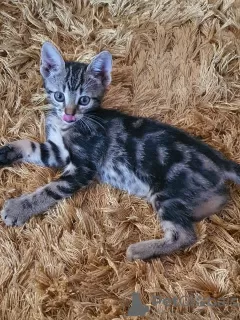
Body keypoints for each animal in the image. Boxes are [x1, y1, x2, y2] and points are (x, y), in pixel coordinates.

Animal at [0, 42, 240, 262]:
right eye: (59, 96)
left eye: (84, 100)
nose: (69, 114)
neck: (69, 125)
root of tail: (219, 161)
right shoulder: (57, 151)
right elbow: (30, 145)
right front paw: (6, 151)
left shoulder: (83, 166)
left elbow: (51, 189)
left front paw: (19, 208)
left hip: (167, 193)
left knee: (185, 235)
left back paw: (139, 250)